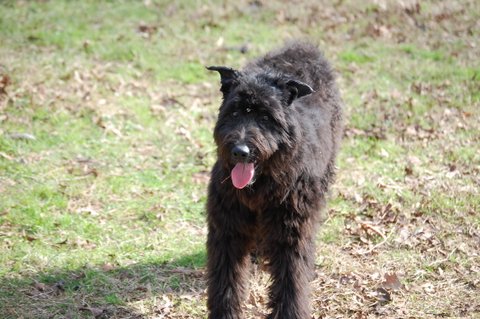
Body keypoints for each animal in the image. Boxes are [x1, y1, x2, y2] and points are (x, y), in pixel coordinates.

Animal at [204, 41, 344, 318]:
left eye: (266, 117)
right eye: (234, 113)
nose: (240, 151)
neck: (260, 186)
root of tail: (305, 48)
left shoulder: (291, 234)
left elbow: (292, 280)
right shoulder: (227, 230)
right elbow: (226, 281)